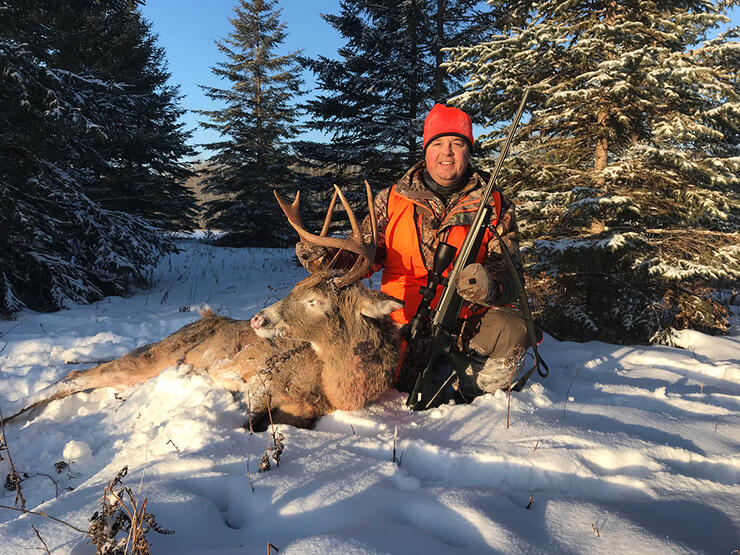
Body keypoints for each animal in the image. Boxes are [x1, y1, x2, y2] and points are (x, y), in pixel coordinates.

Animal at [1, 182, 404, 430]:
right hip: (161, 355)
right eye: (297, 286)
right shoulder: (262, 381)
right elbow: (250, 420)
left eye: (314, 300)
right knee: (76, 378)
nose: (258, 319)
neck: (335, 388)